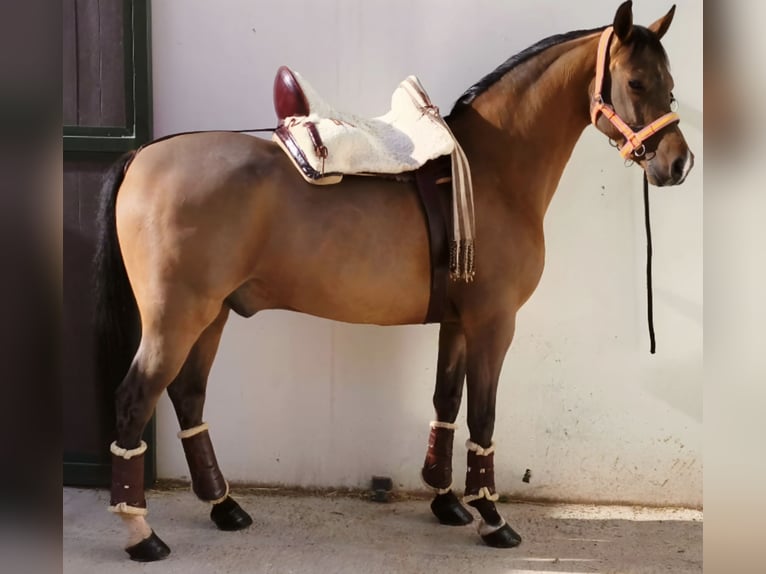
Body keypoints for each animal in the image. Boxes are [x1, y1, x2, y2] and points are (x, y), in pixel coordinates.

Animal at [95, 1, 693, 561]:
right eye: (636, 82)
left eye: (669, 83)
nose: (679, 164)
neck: (491, 170)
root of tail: (143, 153)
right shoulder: (493, 324)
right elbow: (482, 416)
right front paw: (492, 519)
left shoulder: (457, 323)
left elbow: (446, 402)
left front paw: (447, 502)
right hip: (177, 317)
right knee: (135, 399)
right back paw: (141, 533)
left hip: (213, 313)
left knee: (188, 395)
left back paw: (225, 507)